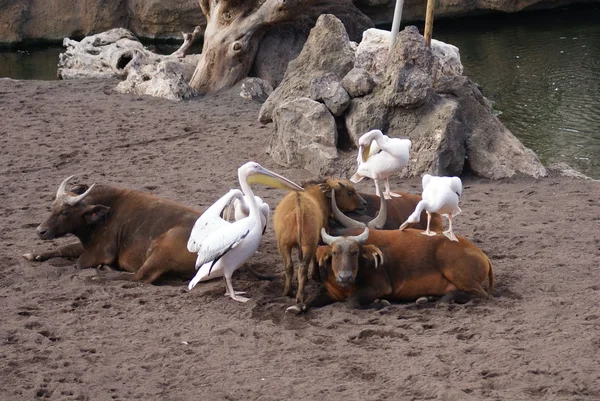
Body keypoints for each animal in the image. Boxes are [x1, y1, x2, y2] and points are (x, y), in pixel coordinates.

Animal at [22, 176, 200, 284]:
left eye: (65, 212)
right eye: (52, 207)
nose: (41, 231)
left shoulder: (102, 252)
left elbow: (79, 263)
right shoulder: (89, 244)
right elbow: (64, 248)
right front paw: (34, 255)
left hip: (161, 250)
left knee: (139, 275)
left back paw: (99, 274)